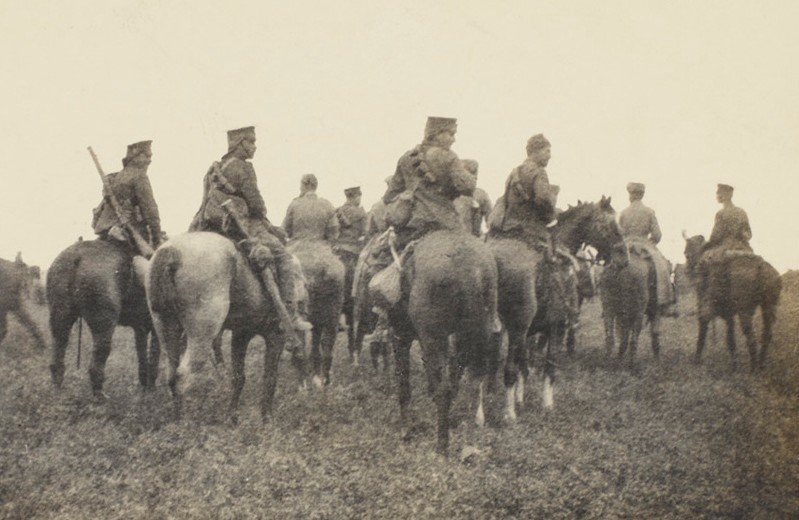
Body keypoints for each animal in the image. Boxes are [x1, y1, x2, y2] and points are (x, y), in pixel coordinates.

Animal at [48, 241, 159, 398]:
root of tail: (76, 256)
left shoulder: (141, 328)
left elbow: (143, 356)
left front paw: (145, 387)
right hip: (104, 323)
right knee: (99, 357)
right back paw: (100, 396)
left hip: (61, 316)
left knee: (58, 347)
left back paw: (58, 391)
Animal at [488, 196, 624, 422]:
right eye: (611, 224)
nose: (625, 258)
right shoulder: (555, 327)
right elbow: (549, 366)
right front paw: (547, 405)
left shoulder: (532, 332)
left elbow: (525, 365)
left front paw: (521, 399)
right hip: (517, 329)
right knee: (508, 369)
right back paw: (509, 414)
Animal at [680, 234, 780, 372]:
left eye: (686, 253)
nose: (686, 270)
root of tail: (761, 267)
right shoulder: (729, 314)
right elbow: (731, 339)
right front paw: (734, 365)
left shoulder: (705, 307)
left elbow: (703, 332)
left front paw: (697, 360)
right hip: (769, 306)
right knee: (767, 334)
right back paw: (760, 364)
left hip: (745, 311)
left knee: (751, 337)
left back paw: (753, 368)